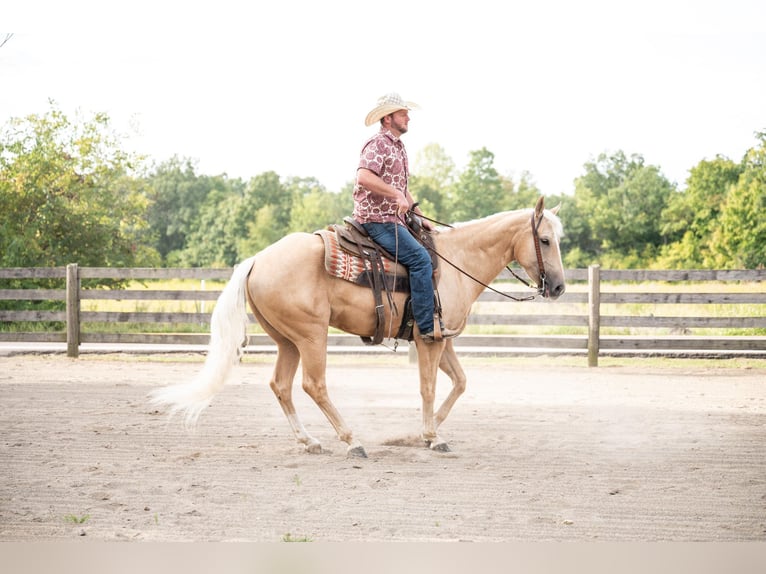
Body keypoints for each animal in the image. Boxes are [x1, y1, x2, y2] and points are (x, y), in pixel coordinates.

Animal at [152, 198, 568, 460]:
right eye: (545, 240)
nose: (559, 287)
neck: (456, 262)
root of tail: (256, 260)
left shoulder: (442, 339)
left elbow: (460, 383)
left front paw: (420, 434)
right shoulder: (429, 341)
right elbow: (429, 387)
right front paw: (432, 437)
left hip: (287, 340)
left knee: (281, 385)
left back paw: (309, 441)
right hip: (311, 335)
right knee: (313, 385)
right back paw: (351, 441)